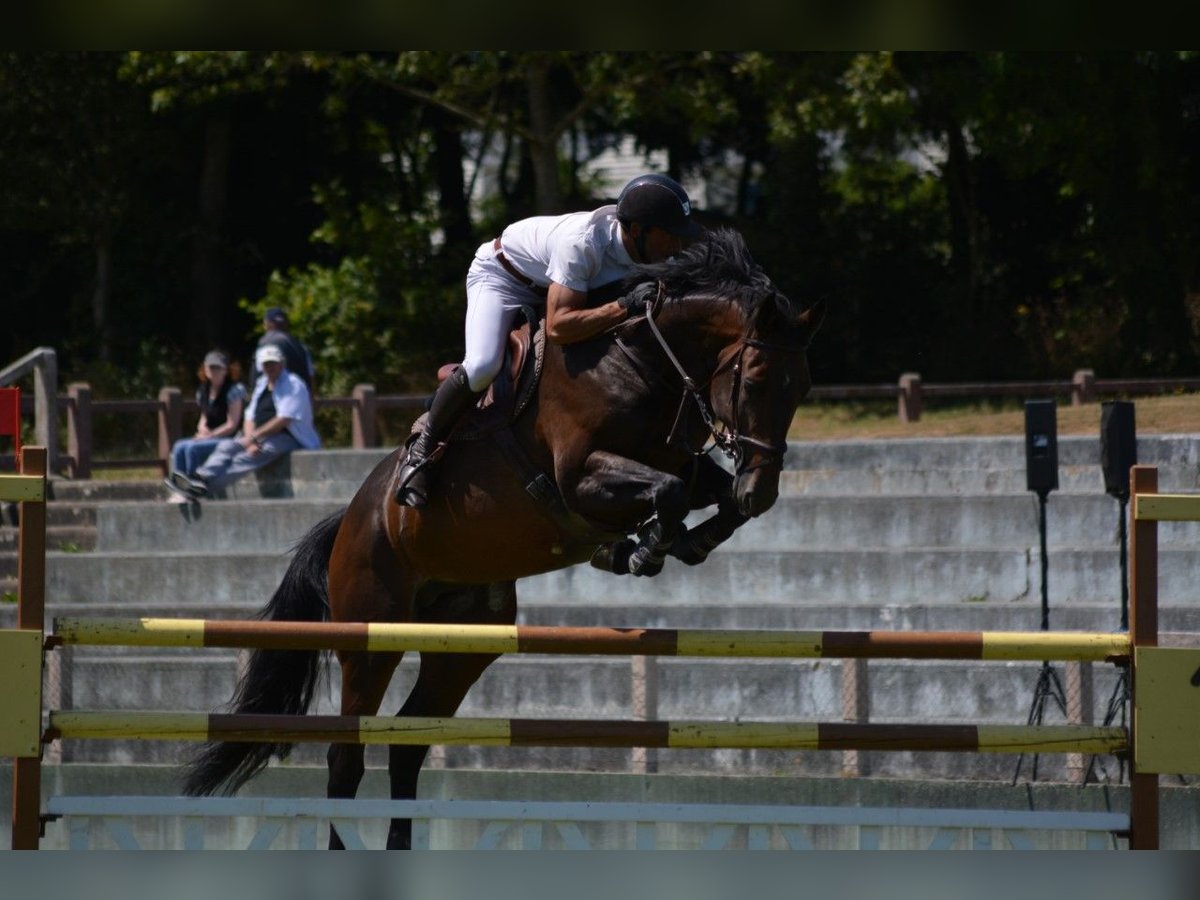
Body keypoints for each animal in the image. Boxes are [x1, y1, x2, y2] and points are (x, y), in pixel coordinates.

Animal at [182, 229, 825, 849]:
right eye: (756, 379)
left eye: (802, 387)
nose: (762, 488)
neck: (643, 362)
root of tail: (351, 520)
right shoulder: (580, 477)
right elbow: (664, 493)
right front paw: (638, 548)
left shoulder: (684, 466)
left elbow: (703, 494)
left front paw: (679, 542)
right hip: (371, 640)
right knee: (346, 761)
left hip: (462, 644)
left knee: (407, 746)